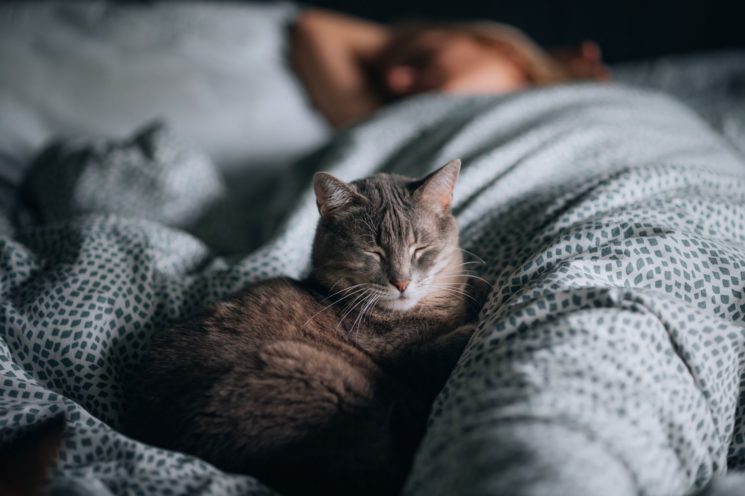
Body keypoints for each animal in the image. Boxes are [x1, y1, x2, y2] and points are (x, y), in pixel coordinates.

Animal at [125, 160, 486, 496]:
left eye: (420, 249)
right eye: (373, 252)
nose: (401, 283)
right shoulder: (410, 360)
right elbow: (444, 346)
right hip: (319, 376)